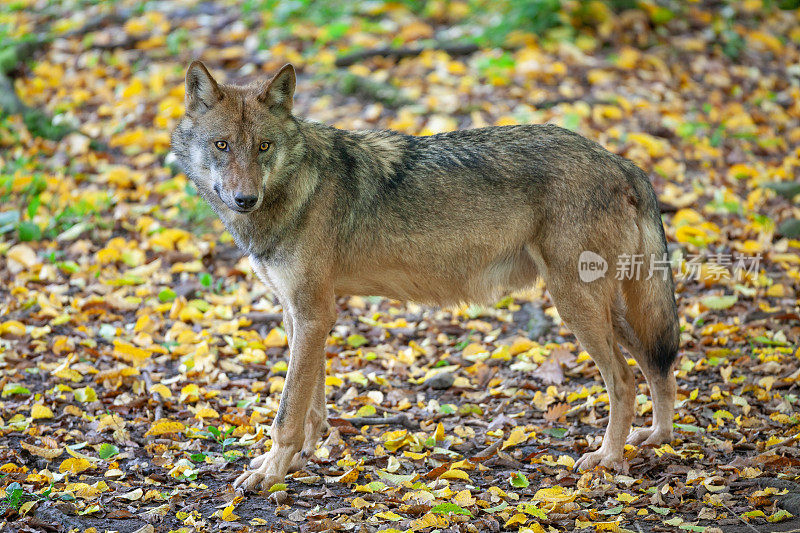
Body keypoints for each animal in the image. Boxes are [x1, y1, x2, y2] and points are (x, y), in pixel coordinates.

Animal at [170, 61, 680, 490]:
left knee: (625, 380)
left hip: (575, 305)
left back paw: (608, 458)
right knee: (658, 364)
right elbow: (312, 403)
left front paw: (272, 473)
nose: (245, 199)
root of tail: (619, 160)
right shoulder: (297, 315)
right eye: (222, 145)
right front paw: (300, 459)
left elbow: (288, 411)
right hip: (606, 308)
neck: (297, 187)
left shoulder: (315, 312)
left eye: (264, 146)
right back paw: (656, 437)